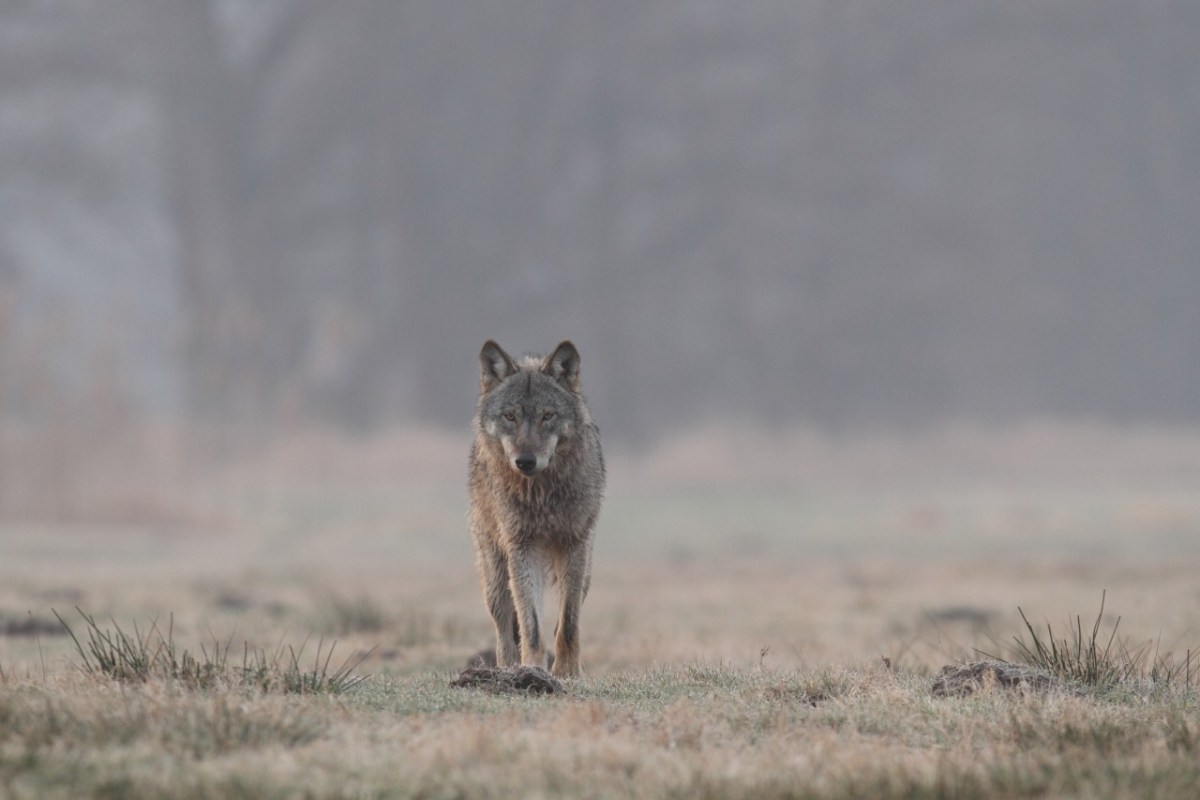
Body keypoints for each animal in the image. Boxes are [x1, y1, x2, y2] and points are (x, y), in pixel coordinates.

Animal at [468, 339, 605, 678]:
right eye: (510, 416)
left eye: (547, 415)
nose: (525, 461)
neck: (542, 495)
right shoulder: (522, 547)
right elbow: (530, 625)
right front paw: (531, 669)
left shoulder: (575, 545)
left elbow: (567, 623)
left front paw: (568, 672)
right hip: (495, 575)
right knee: (505, 628)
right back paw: (506, 670)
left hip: (586, 572)